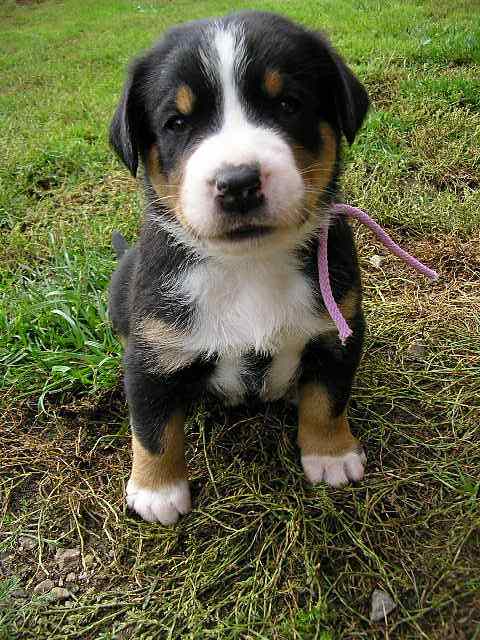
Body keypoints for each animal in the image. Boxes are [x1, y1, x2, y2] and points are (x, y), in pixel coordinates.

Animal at [108, 11, 370, 524]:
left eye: (288, 104)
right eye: (176, 123)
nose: (238, 183)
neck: (249, 265)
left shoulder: (338, 329)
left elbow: (327, 400)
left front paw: (331, 455)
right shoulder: (151, 349)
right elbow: (152, 426)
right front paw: (157, 491)